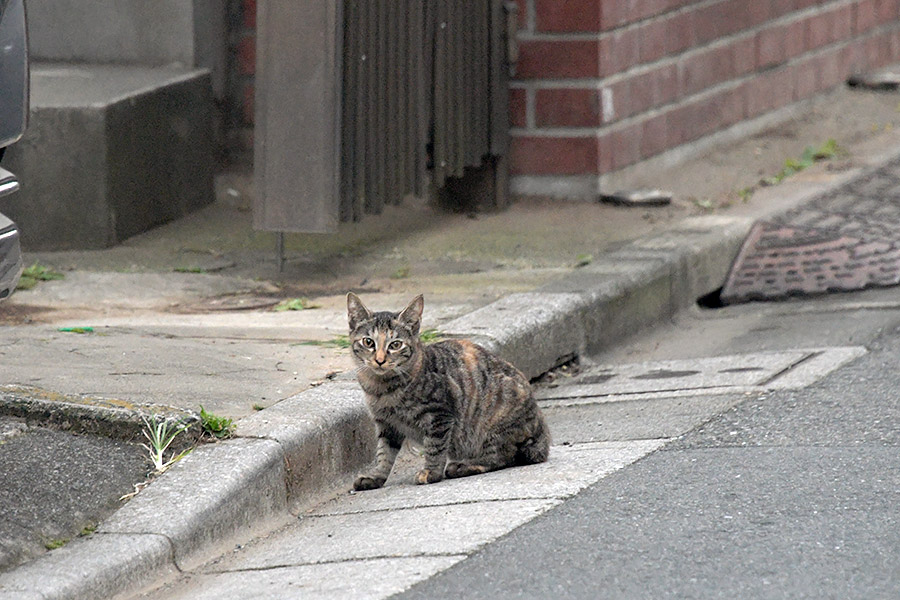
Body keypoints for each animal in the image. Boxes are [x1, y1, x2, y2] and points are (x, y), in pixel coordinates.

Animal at [348, 290, 552, 488]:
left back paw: (463, 466)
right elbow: (384, 454)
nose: (380, 360)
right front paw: (376, 476)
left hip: (494, 426)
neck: (381, 388)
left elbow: (434, 447)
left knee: (502, 456)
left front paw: (430, 472)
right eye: (368, 342)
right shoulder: (386, 425)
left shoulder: (439, 415)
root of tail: (542, 433)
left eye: (396, 344)